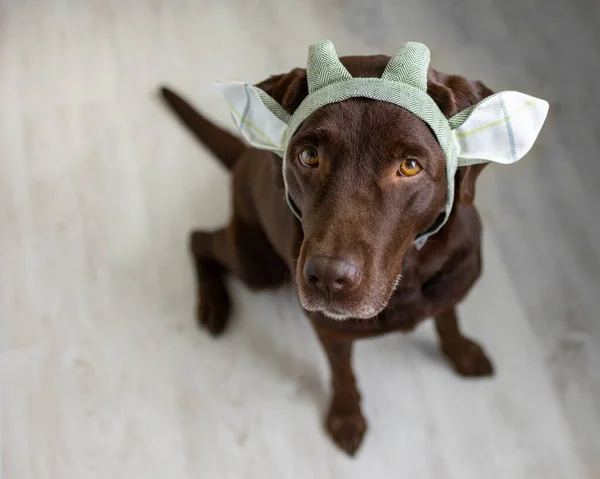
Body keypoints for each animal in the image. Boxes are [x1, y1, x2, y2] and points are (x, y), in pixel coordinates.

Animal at [159, 53, 496, 458]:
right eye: (308, 156)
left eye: (410, 165)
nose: (327, 278)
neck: (407, 276)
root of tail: (243, 154)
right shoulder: (331, 331)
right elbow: (343, 374)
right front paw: (346, 419)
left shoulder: (452, 285)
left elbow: (448, 318)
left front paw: (462, 353)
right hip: (256, 265)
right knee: (199, 239)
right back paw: (213, 304)